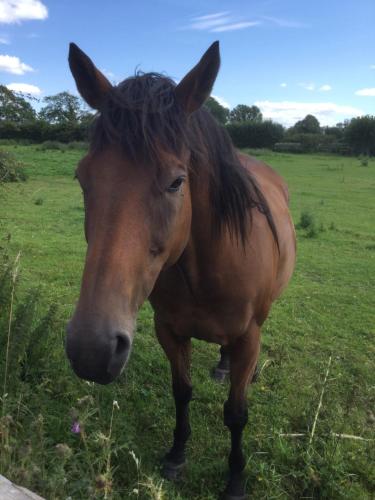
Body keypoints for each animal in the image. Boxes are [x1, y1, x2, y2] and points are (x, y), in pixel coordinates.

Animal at [67, 41, 296, 498]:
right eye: (83, 178)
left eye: (177, 182)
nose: (91, 348)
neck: (206, 272)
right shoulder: (169, 330)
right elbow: (182, 391)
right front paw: (176, 455)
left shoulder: (248, 338)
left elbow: (236, 413)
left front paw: (235, 479)